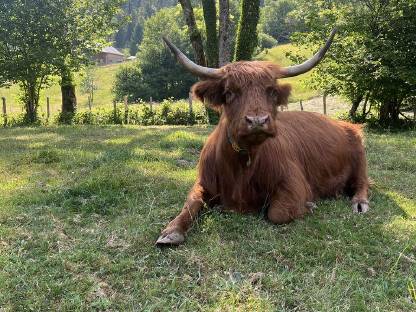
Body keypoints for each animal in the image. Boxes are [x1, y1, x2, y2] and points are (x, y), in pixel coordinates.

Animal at [157, 28, 370, 246]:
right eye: (229, 92)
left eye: (272, 91)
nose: (258, 121)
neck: (242, 166)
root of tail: (343, 124)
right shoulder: (204, 181)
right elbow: (191, 201)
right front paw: (171, 231)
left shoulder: (293, 182)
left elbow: (277, 213)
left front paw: (309, 205)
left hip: (360, 155)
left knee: (363, 182)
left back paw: (359, 203)